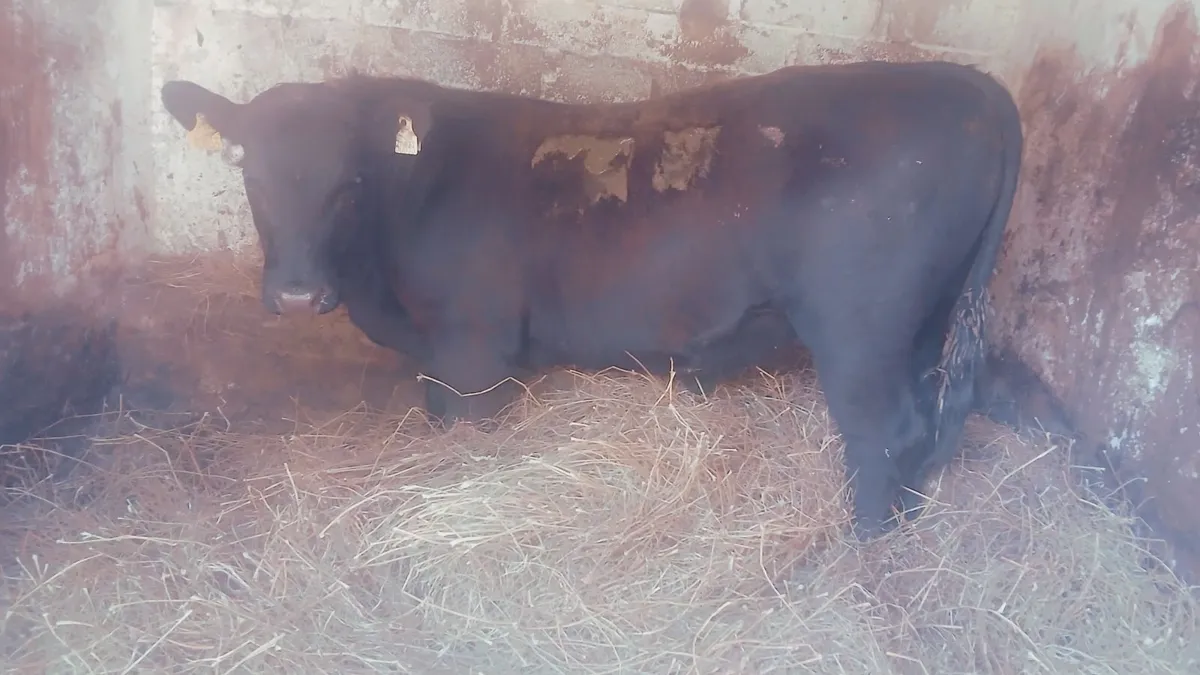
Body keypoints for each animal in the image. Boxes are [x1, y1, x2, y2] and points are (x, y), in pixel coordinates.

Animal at [159, 60, 1023, 539]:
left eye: (349, 180)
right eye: (250, 174)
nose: (299, 294)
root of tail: (972, 83)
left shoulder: (472, 349)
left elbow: (467, 442)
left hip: (860, 330)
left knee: (885, 433)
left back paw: (860, 553)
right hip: (922, 324)